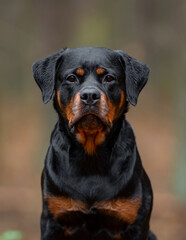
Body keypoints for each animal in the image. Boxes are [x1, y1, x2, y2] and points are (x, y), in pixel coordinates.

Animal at [32, 47, 157, 240]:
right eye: (72, 78)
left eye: (109, 78)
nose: (90, 95)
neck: (91, 156)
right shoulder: (52, 221)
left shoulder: (136, 225)